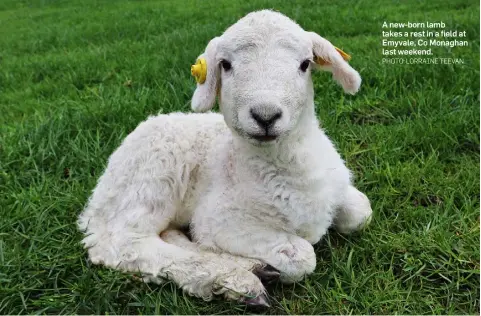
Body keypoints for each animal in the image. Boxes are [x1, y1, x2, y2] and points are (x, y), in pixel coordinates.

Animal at [77, 9, 374, 306]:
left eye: (305, 64)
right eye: (226, 65)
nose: (265, 116)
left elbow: (362, 212)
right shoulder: (219, 220)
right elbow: (301, 256)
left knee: (163, 233)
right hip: (152, 178)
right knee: (123, 242)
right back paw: (233, 279)